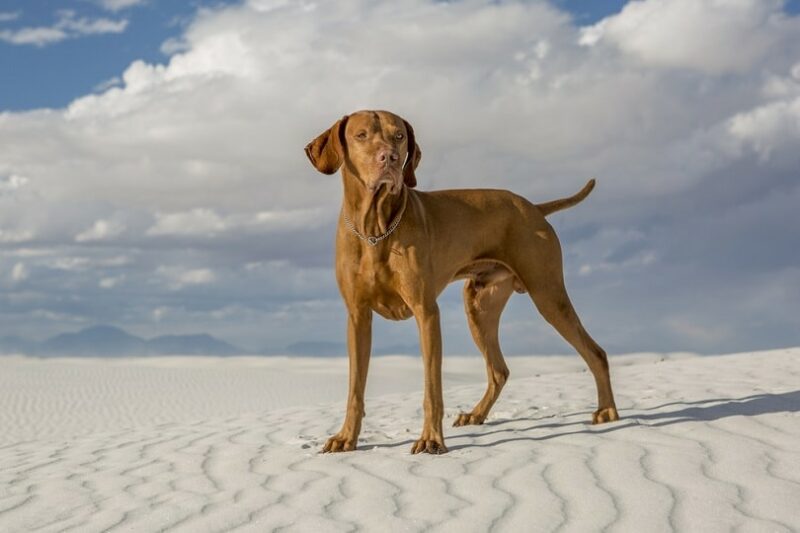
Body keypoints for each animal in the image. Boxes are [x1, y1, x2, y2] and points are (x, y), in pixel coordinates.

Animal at [304, 110, 620, 456]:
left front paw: (430, 439)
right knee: (499, 370)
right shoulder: (358, 317)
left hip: (548, 295)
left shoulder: (426, 312)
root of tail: (534, 208)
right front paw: (346, 437)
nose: (390, 158)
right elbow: (355, 388)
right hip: (479, 306)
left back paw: (608, 411)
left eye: (398, 136)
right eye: (361, 135)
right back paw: (476, 415)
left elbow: (432, 389)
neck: (376, 229)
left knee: (595, 352)